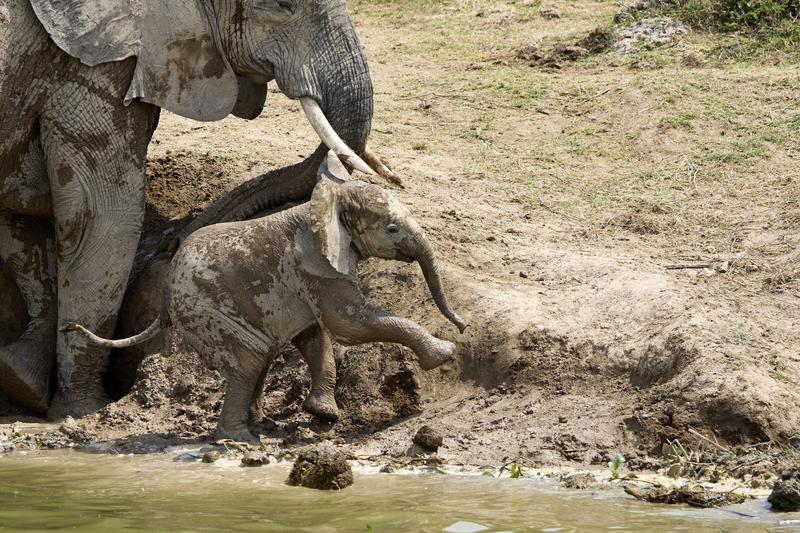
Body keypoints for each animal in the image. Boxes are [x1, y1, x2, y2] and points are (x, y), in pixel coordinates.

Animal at [0, 0, 382, 418]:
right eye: (281, 6)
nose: (175, 242)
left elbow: (24, 218)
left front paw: (22, 381)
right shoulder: (94, 68)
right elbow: (102, 220)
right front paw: (82, 410)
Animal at [70, 150, 468, 440]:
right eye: (392, 229)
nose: (463, 327)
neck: (327, 201)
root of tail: (165, 295)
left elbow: (315, 334)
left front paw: (323, 415)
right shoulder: (314, 265)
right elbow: (346, 323)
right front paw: (445, 353)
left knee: (259, 359)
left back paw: (258, 424)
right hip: (204, 310)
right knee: (249, 360)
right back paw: (239, 438)